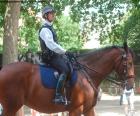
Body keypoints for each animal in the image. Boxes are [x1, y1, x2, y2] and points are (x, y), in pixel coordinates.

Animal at [0, 45, 135, 115]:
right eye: (128, 63)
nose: (131, 85)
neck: (86, 74)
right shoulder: (76, 110)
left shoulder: (89, 109)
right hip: (11, 107)